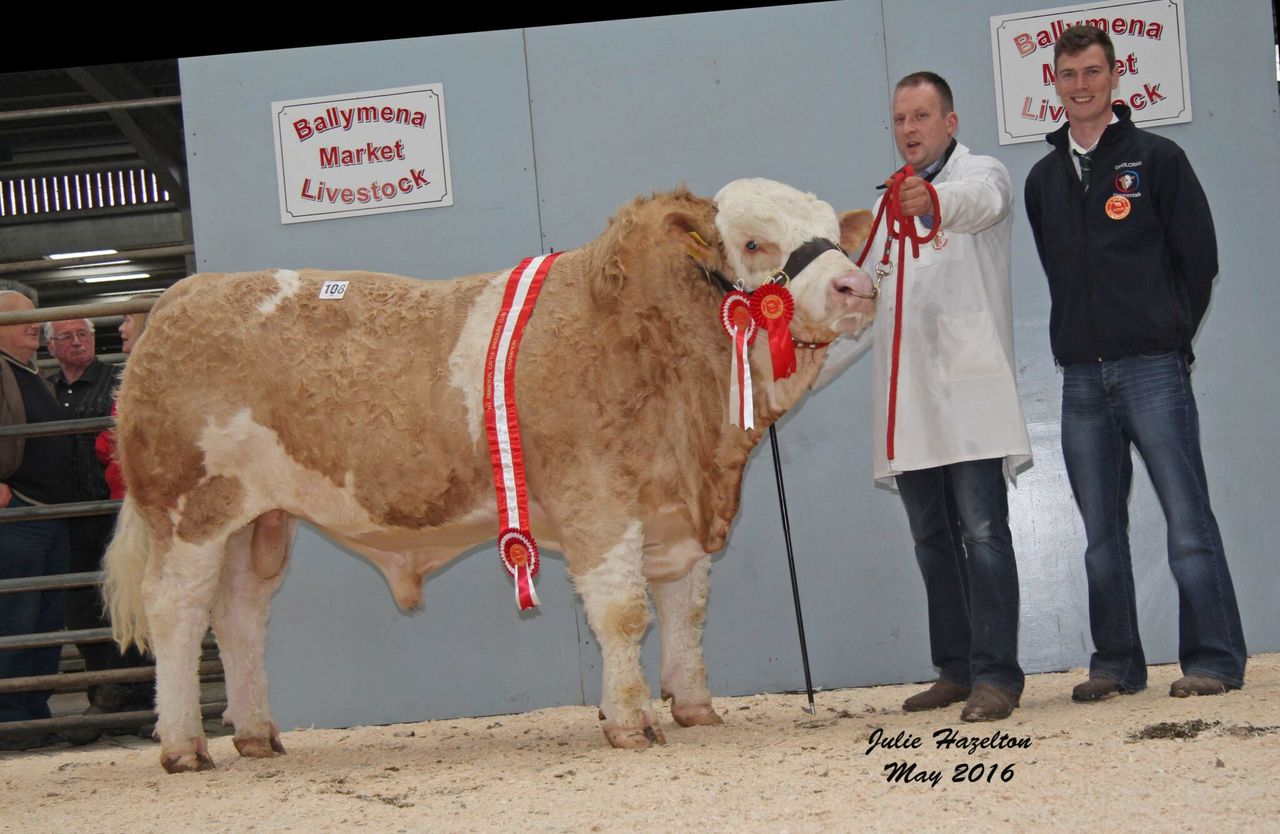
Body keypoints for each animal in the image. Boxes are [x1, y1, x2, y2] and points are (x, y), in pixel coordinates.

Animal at [102, 179, 876, 772]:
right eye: (753, 243)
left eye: (831, 231)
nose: (857, 284)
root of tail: (184, 292)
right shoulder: (600, 502)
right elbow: (624, 611)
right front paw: (630, 722)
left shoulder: (674, 513)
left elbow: (685, 611)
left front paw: (693, 708)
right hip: (191, 512)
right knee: (177, 612)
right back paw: (184, 746)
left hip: (259, 522)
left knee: (238, 614)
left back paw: (258, 735)